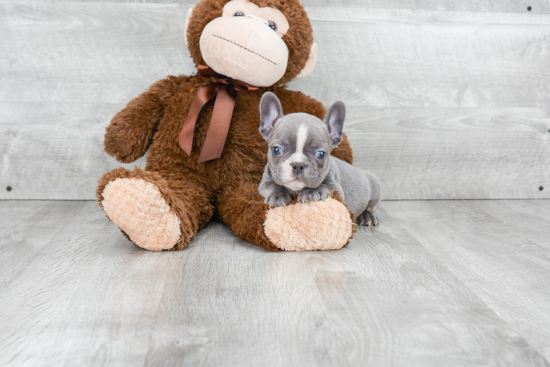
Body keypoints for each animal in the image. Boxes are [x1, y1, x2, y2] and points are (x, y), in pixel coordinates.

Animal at [260, 92, 384, 227]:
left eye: (320, 154)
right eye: (276, 150)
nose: (298, 165)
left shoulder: (336, 188)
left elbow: (325, 186)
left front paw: (312, 192)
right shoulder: (264, 182)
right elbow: (271, 185)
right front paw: (277, 195)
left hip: (375, 187)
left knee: (371, 206)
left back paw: (367, 216)